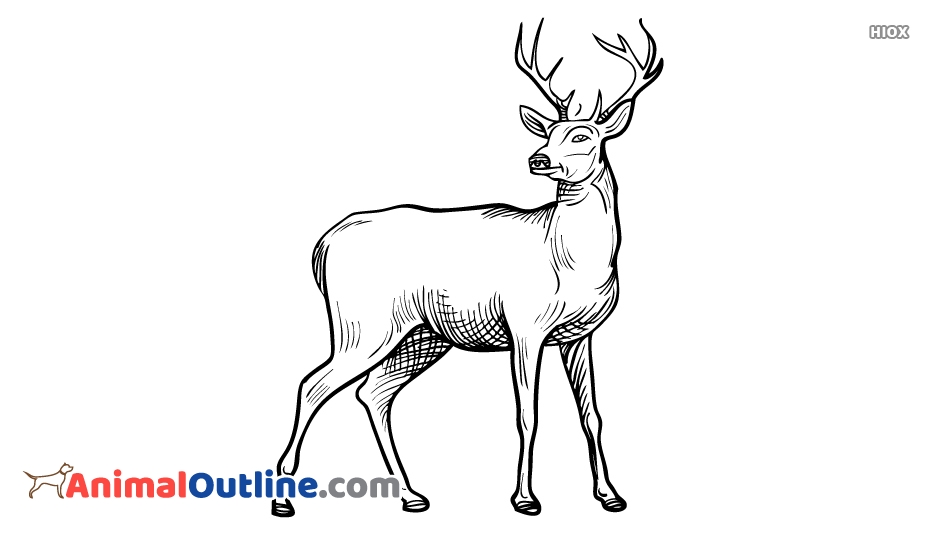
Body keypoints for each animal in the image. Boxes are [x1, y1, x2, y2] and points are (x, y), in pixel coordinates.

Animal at [272, 19, 663, 517]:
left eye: (582, 137)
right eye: (546, 134)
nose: (538, 159)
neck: (572, 264)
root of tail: (322, 246)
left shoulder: (581, 334)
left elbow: (591, 415)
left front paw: (611, 495)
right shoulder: (525, 325)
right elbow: (527, 413)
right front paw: (524, 499)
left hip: (421, 335)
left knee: (373, 392)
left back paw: (412, 495)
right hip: (362, 323)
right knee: (313, 384)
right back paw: (284, 497)